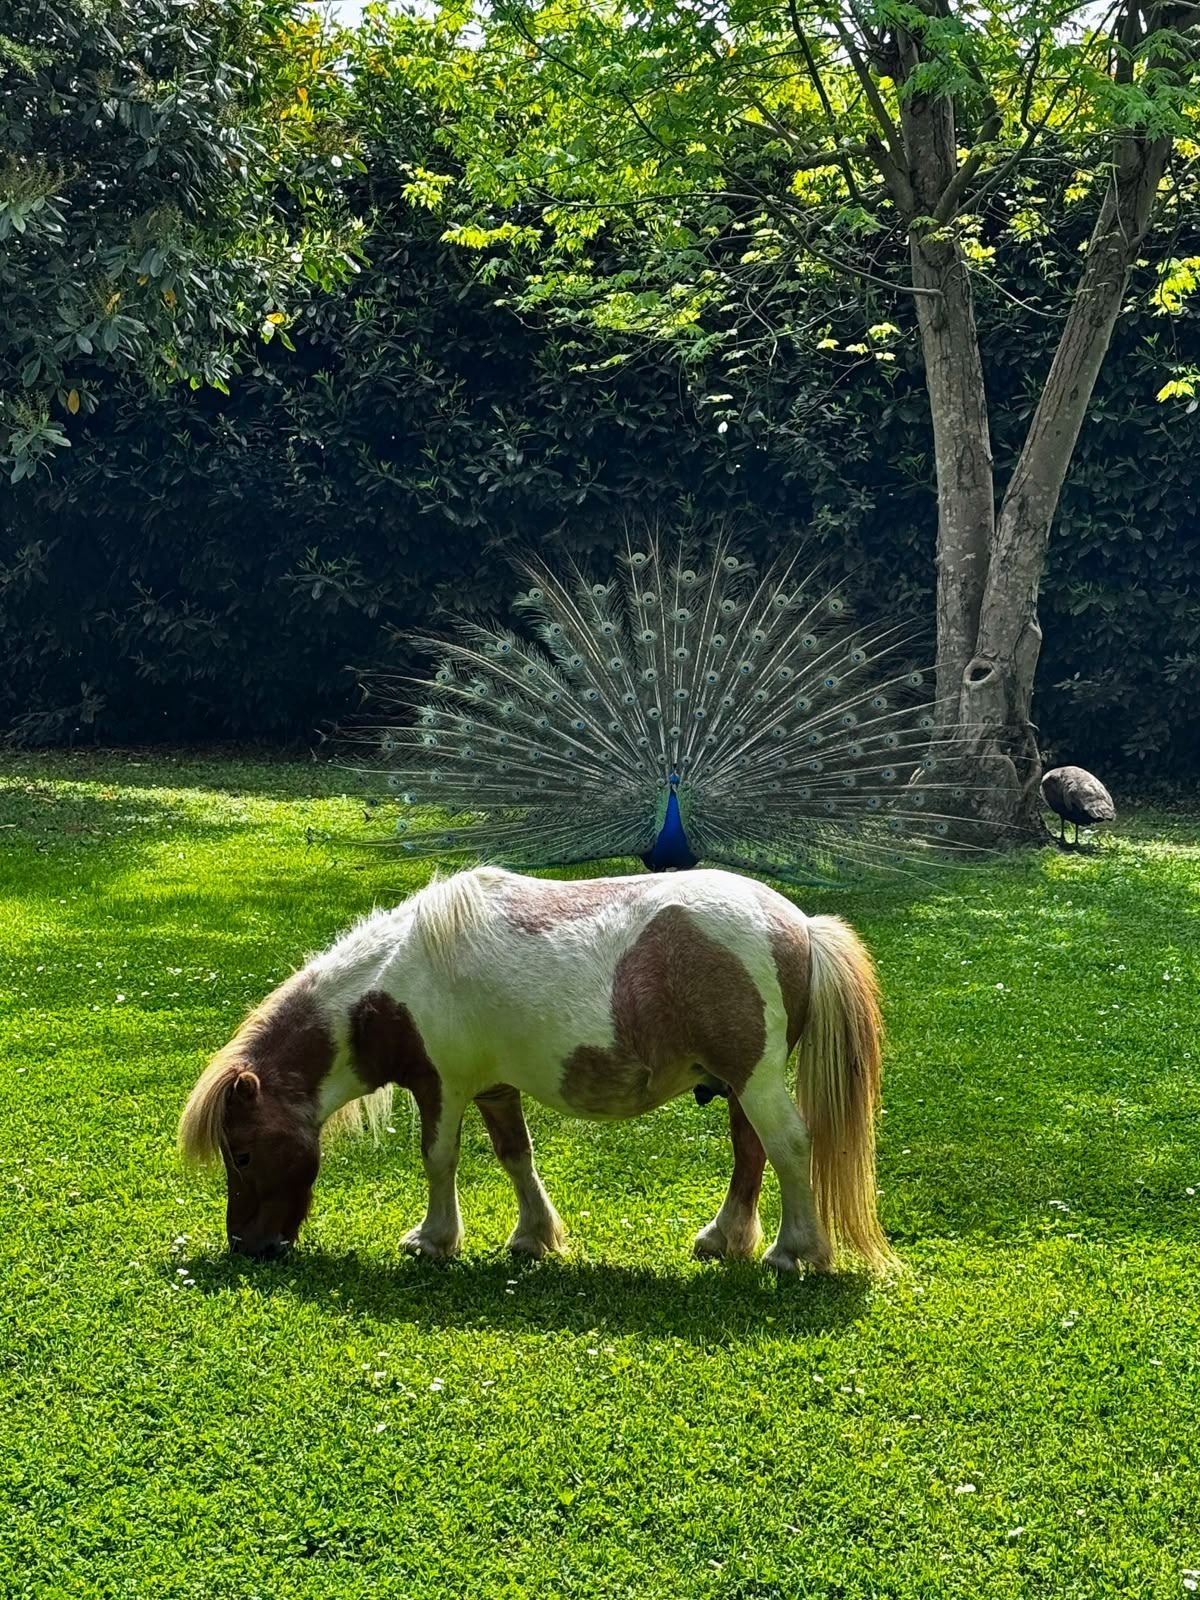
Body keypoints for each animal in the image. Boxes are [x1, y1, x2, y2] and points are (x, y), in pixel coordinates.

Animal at [178, 866, 896, 1273]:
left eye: (242, 1154)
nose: (248, 1246)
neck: (392, 984)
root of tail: (800, 926)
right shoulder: (494, 1088)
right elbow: (515, 1157)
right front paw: (533, 1237)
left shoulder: (442, 1087)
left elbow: (438, 1159)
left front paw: (433, 1240)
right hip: (738, 1083)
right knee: (751, 1152)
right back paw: (726, 1240)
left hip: (755, 1079)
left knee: (789, 1147)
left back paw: (794, 1252)